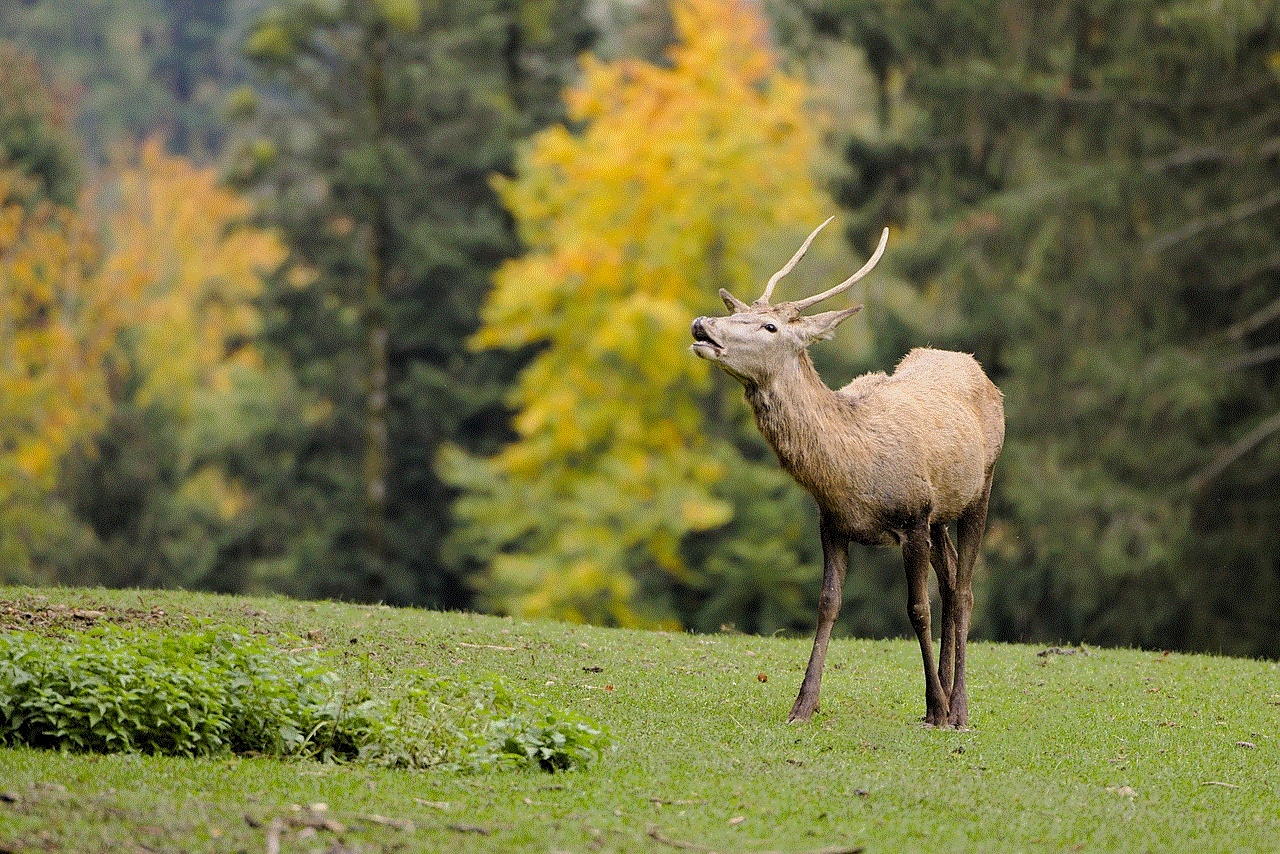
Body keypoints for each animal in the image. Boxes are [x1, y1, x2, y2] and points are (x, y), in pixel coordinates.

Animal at [691, 218, 998, 727]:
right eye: (741, 311)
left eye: (770, 325)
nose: (702, 325)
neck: (850, 471)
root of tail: (975, 365)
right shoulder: (832, 521)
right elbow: (827, 604)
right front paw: (802, 705)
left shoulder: (913, 517)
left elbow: (917, 609)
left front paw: (936, 708)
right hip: (942, 515)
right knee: (953, 579)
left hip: (980, 489)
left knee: (965, 591)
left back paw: (957, 708)